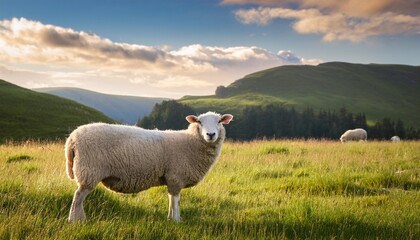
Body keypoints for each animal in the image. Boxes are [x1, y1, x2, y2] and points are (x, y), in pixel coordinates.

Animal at [67, 111, 235, 222]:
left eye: (219, 121)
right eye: (199, 122)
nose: (211, 134)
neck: (191, 142)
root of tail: (72, 138)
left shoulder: (170, 178)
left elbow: (171, 199)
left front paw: (170, 218)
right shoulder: (176, 176)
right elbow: (176, 200)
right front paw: (176, 220)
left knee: (79, 197)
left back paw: (80, 219)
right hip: (89, 171)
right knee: (78, 197)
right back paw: (75, 221)